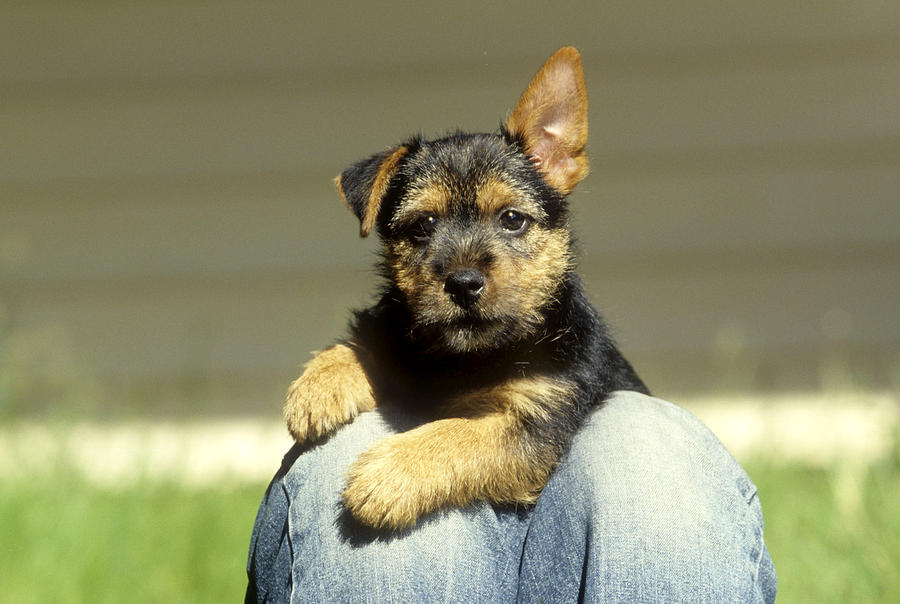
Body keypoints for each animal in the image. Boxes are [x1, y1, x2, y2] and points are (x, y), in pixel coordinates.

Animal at [284, 46, 644, 528]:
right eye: (423, 225)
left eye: (512, 219)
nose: (463, 283)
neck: (467, 357)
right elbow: (372, 343)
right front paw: (320, 384)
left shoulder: (532, 419)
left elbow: (462, 433)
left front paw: (389, 473)